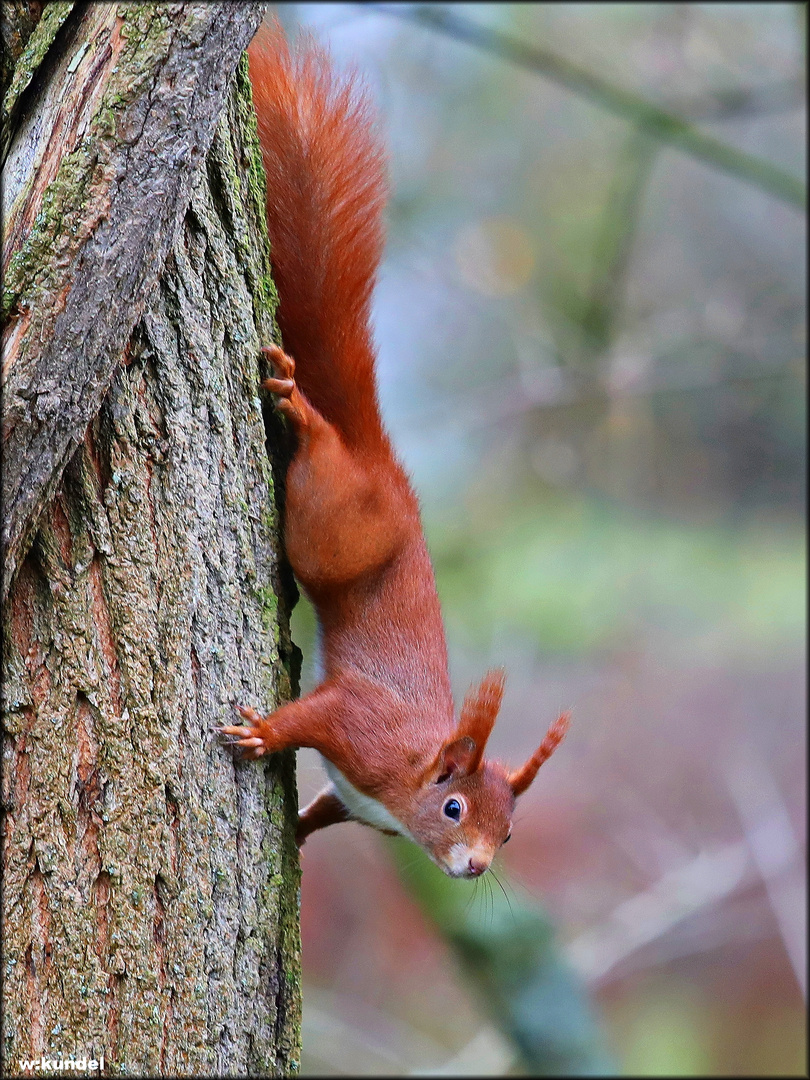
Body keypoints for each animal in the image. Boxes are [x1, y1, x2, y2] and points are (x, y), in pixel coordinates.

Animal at [219, 21, 565, 881]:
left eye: (510, 833)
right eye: (454, 808)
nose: (475, 867)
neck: (413, 770)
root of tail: (383, 465)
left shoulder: (358, 799)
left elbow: (323, 808)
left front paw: (298, 834)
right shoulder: (358, 723)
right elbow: (309, 718)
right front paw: (263, 734)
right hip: (333, 523)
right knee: (323, 461)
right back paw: (305, 413)